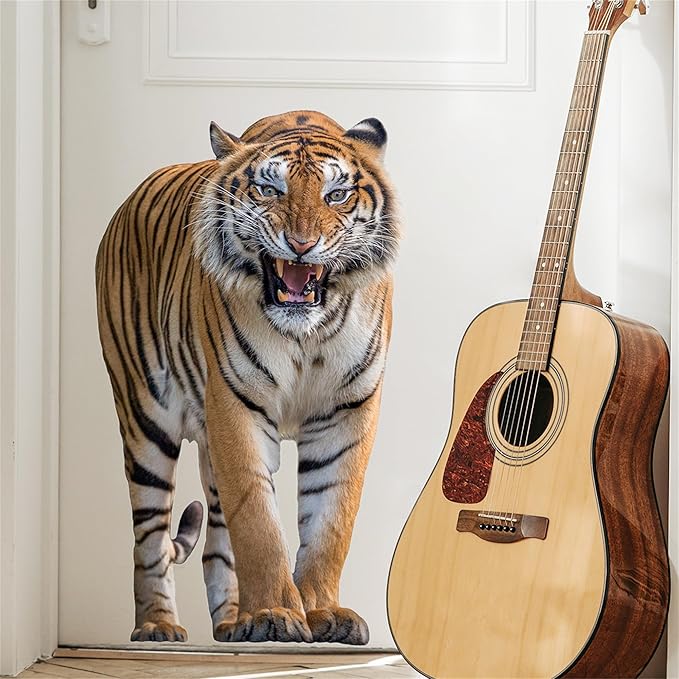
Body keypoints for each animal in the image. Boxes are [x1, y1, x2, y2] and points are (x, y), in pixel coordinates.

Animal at [95, 110, 400, 645]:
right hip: (144, 419)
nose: (301, 245)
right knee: (150, 538)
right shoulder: (235, 406)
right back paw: (159, 625)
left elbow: (330, 521)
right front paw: (276, 614)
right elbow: (257, 523)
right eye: (269, 190)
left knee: (216, 540)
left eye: (337, 195)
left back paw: (232, 623)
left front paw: (323, 612)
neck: (308, 334)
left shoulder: (347, 413)